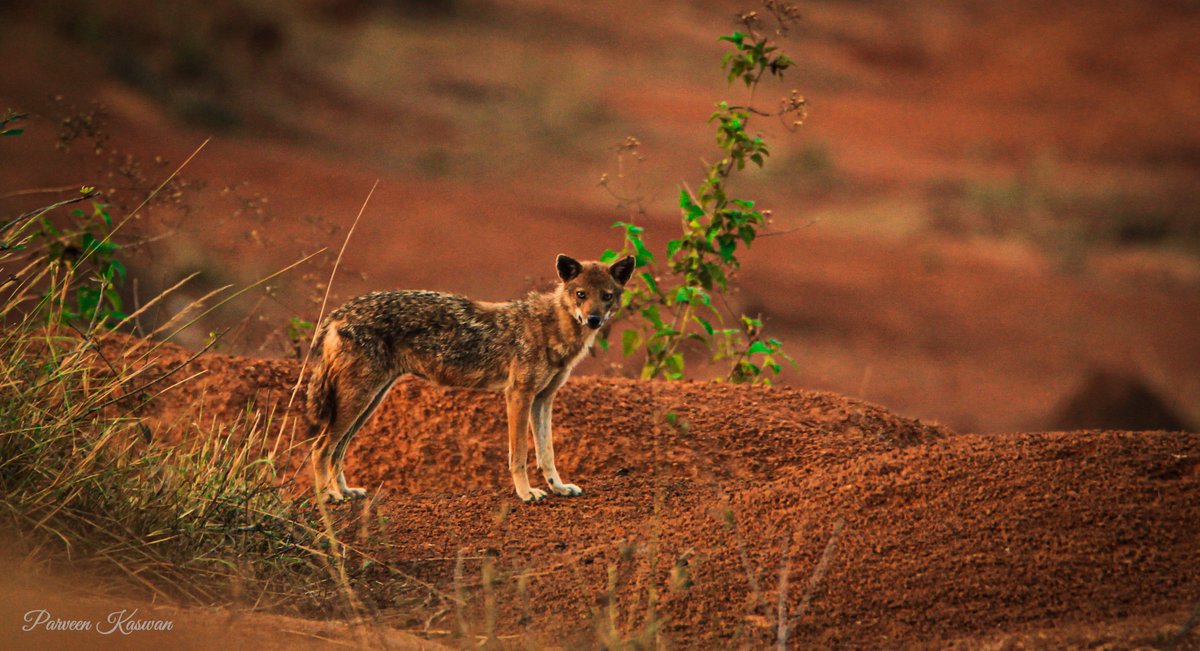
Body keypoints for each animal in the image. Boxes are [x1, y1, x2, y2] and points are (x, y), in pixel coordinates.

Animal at [305, 253, 636, 504]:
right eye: (581, 295)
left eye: (606, 297)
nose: (594, 319)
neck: (552, 329)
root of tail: (339, 312)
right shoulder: (518, 395)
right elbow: (520, 454)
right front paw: (526, 493)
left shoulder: (543, 399)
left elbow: (547, 453)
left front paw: (558, 487)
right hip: (357, 401)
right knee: (320, 449)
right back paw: (328, 497)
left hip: (368, 403)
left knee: (336, 450)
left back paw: (345, 491)